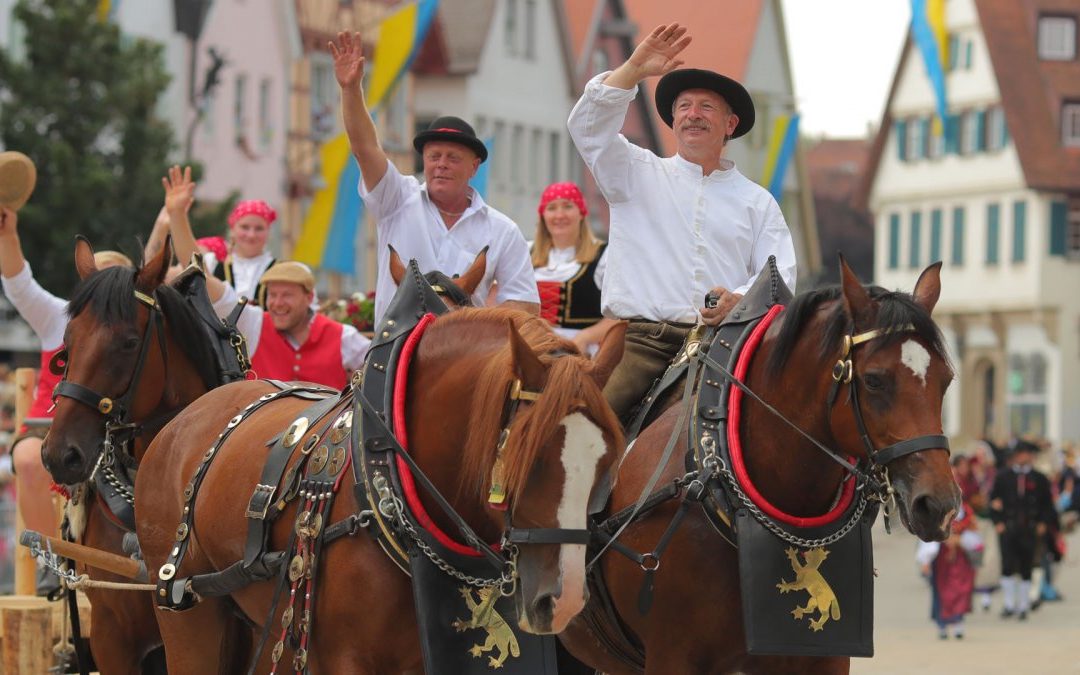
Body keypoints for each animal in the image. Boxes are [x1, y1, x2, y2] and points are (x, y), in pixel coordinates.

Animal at [130, 304, 630, 669]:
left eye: (606, 462)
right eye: (531, 456)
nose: (562, 601)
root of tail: (183, 421)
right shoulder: (342, 660)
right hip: (189, 614)